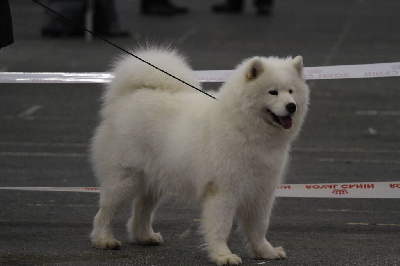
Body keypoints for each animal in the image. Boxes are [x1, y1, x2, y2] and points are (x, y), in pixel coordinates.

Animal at [90, 46, 310, 264]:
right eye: (273, 92)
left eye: (291, 91)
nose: (291, 106)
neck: (243, 127)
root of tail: (131, 95)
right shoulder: (223, 190)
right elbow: (221, 226)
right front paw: (223, 255)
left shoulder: (262, 191)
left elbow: (259, 227)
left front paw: (265, 252)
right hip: (125, 179)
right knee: (105, 212)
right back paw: (104, 240)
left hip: (154, 180)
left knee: (141, 210)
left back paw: (145, 236)